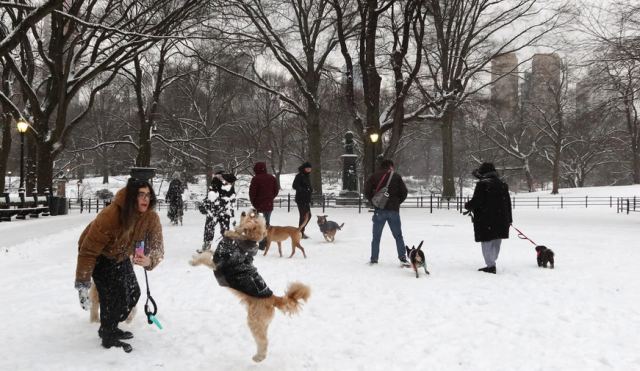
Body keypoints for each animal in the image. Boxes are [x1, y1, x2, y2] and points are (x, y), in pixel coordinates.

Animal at [189, 209, 312, 364]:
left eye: (252, 218)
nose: (251, 210)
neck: (237, 242)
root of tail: (273, 298)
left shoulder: (217, 264)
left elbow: (204, 258)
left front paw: (193, 262)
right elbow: (207, 252)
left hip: (255, 322)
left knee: (263, 341)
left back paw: (258, 357)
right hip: (262, 323)